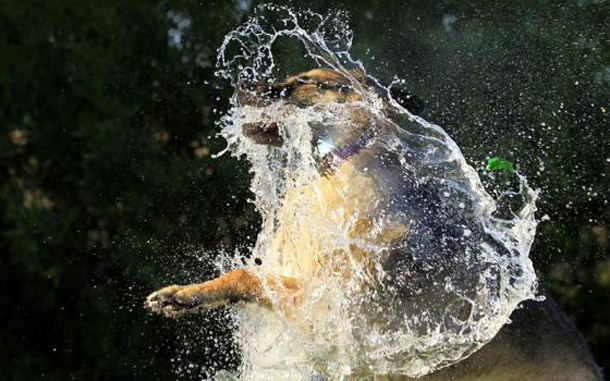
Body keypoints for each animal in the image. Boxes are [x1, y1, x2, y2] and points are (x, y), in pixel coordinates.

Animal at [146, 68, 600, 380]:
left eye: (306, 82)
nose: (243, 86)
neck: (335, 171)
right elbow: (246, 276)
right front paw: (183, 294)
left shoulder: (327, 315)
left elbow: (248, 276)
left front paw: (183, 296)